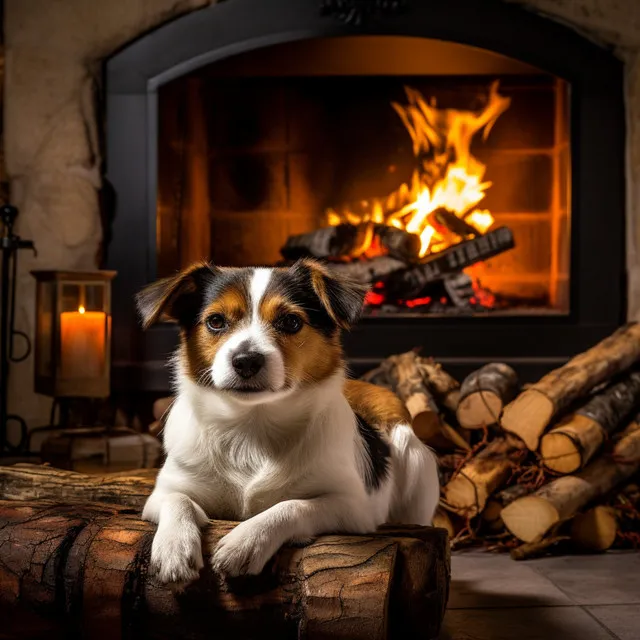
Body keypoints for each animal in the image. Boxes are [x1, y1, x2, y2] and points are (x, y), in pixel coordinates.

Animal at [138, 258, 440, 584]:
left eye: (291, 322)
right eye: (216, 321)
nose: (246, 360)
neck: (252, 425)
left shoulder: (354, 507)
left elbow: (291, 505)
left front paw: (246, 542)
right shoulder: (163, 491)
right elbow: (176, 500)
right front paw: (174, 548)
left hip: (413, 458)